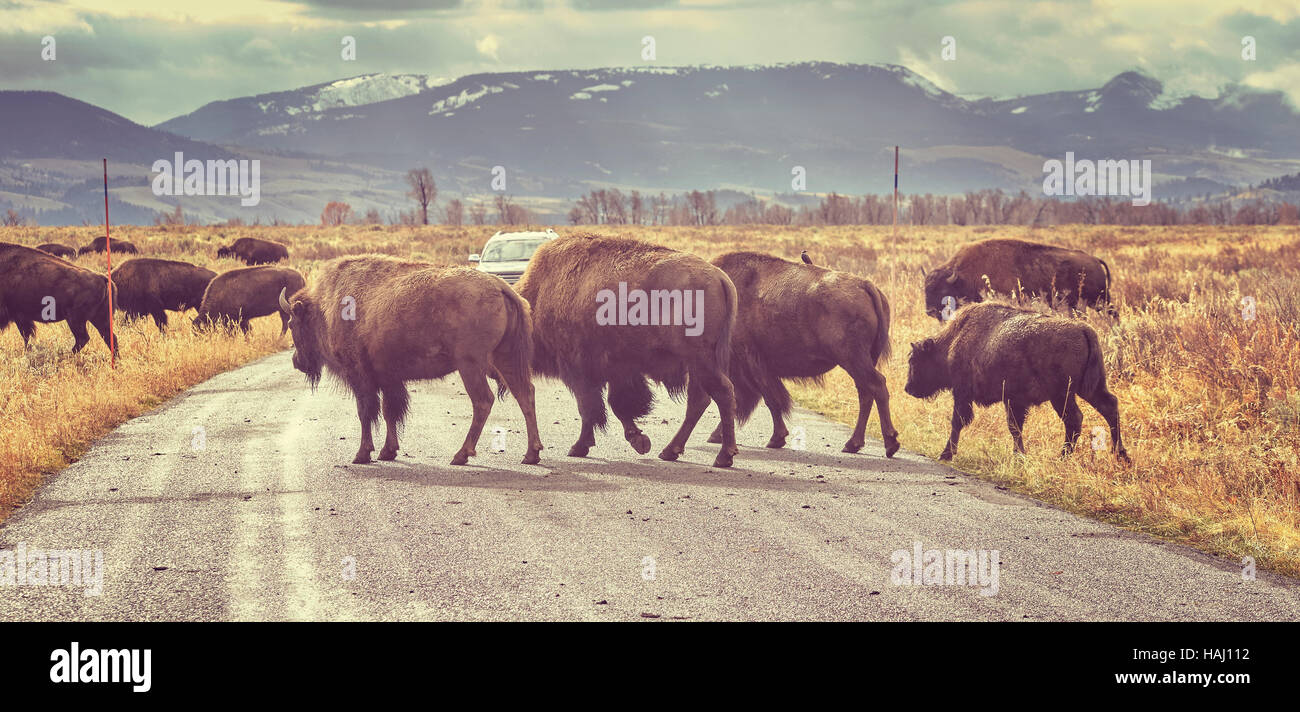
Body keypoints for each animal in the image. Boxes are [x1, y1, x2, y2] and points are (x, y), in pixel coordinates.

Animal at [279, 255, 543, 467]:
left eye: (293, 324)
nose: (296, 362)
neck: (324, 306)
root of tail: (500, 286)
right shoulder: (388, 378)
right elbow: (390, 411)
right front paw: (387, 452)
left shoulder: (360, 375)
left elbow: (366, 412)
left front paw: (362, 454)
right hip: (504, 358)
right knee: (525, 394)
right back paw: (531, 454)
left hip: (471, 365)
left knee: (483, 401)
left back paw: (461, 455)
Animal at [517, 232, 743, 467]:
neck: (541, 291)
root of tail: (720, 278)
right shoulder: (617, 370)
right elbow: (615, 405)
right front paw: (639, 440)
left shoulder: (578, 368)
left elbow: (590, 408)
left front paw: (579, 447)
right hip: (698, 364)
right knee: (699, 401)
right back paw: (669, 451)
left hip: (701, 360)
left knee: (722, 393)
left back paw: (723, 456)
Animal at [707, 253, 899, 459]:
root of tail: (866, 285)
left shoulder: (750, 363)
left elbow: (765, 399)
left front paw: (776, 438)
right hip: (861, 362)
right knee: (866, 393)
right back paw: (853, 444)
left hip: (854, 360)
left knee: (877, 386)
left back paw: (889, 443)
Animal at [904, 302, 1128, 465]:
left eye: (914, 361)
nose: (908, 388)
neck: (953, 341)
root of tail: (1084, 330)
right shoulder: (1014, 401)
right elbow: (1015, 427)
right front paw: (1019, 455)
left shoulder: (963, 394)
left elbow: (958, 422)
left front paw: (946, 454)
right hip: (1090, 388)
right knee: (1109, 407)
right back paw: (1121, 456)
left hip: (1062, 395)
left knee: (1074, 419)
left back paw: (1063, 457)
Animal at [925, 237, 1118, 318]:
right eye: (925, 290)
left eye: (942, 289)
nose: (929, 311)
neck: (964, 275)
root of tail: (1094, 260)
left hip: (1100, 300)